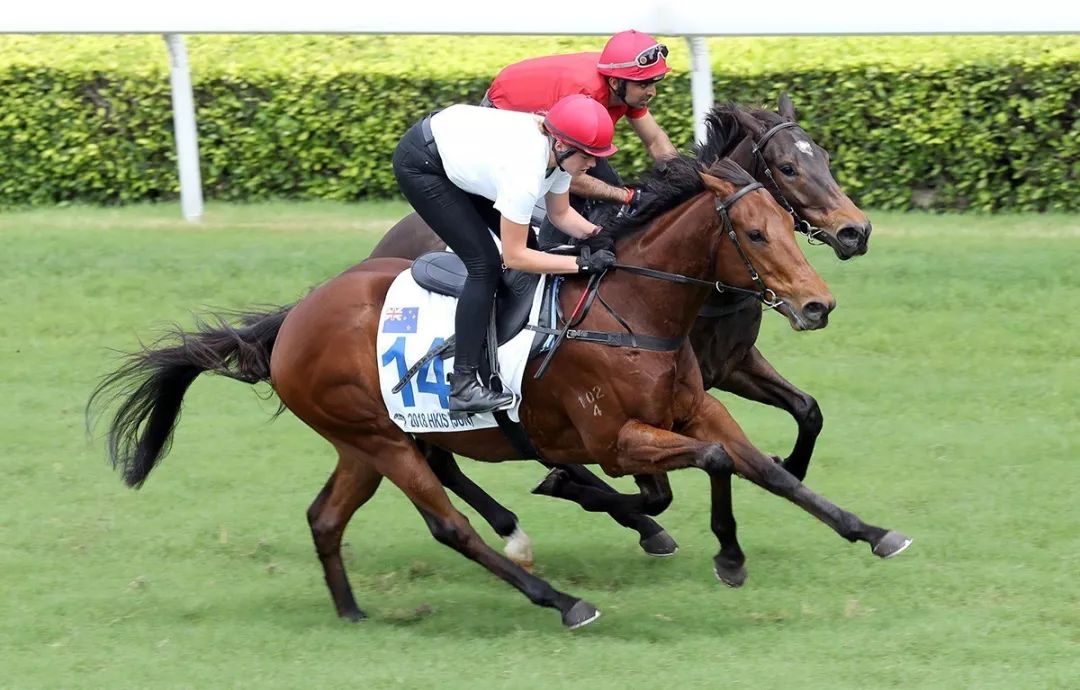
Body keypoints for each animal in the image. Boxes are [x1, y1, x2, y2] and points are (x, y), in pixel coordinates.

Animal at [90, 157, 911, 630]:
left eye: (789, 225)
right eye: (756, 233)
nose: (817, 305)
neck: (637, 310)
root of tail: (294, 318)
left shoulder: (699, 403)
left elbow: (764, 468)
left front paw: (871, 531)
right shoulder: (617, 442)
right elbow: (706, 464)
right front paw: (727, 555)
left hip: (365, 441)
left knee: (326, 517)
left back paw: (352, 612)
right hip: (384, 441)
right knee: (450, 525)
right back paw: (559, 598)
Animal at [362, 94, 868, 557]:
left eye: (824, 157)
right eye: (787, 167)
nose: (856, 231)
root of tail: (381, 247)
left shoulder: (730, 365)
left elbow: (807, 411)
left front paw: (793, 466)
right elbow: (656, 478)